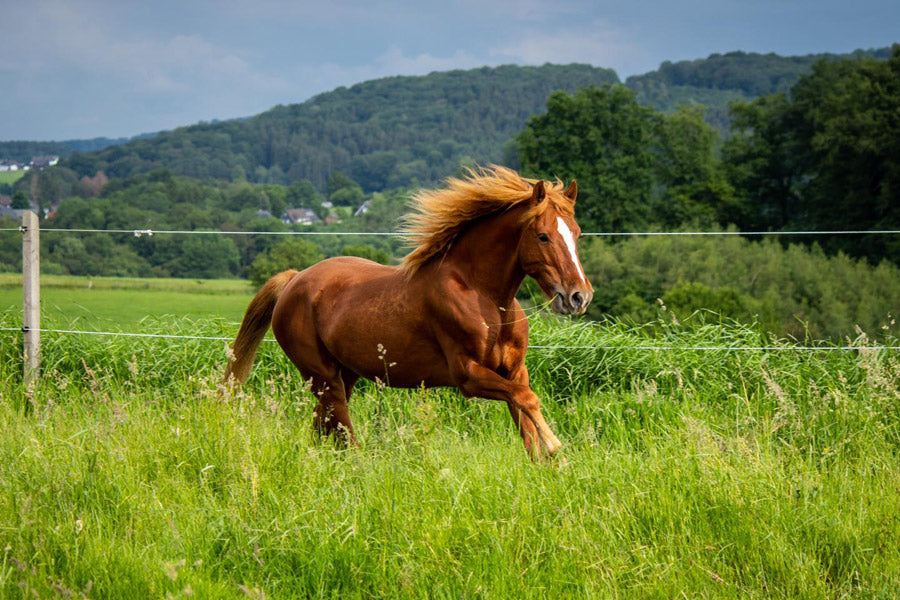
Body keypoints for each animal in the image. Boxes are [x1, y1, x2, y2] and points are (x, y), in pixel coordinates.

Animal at [225, 166, 592, 458]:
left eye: (576, 233)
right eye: (543, 236)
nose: (579, 296)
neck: (485, 297)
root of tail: (294, 279)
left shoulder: (514, 371)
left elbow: (526, 424)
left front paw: (551, 464)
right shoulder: (468, 376)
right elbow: (528, 400)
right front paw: (556, 446)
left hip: (345, 375)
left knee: (322, 428)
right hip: (322, 377)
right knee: (343, 434)